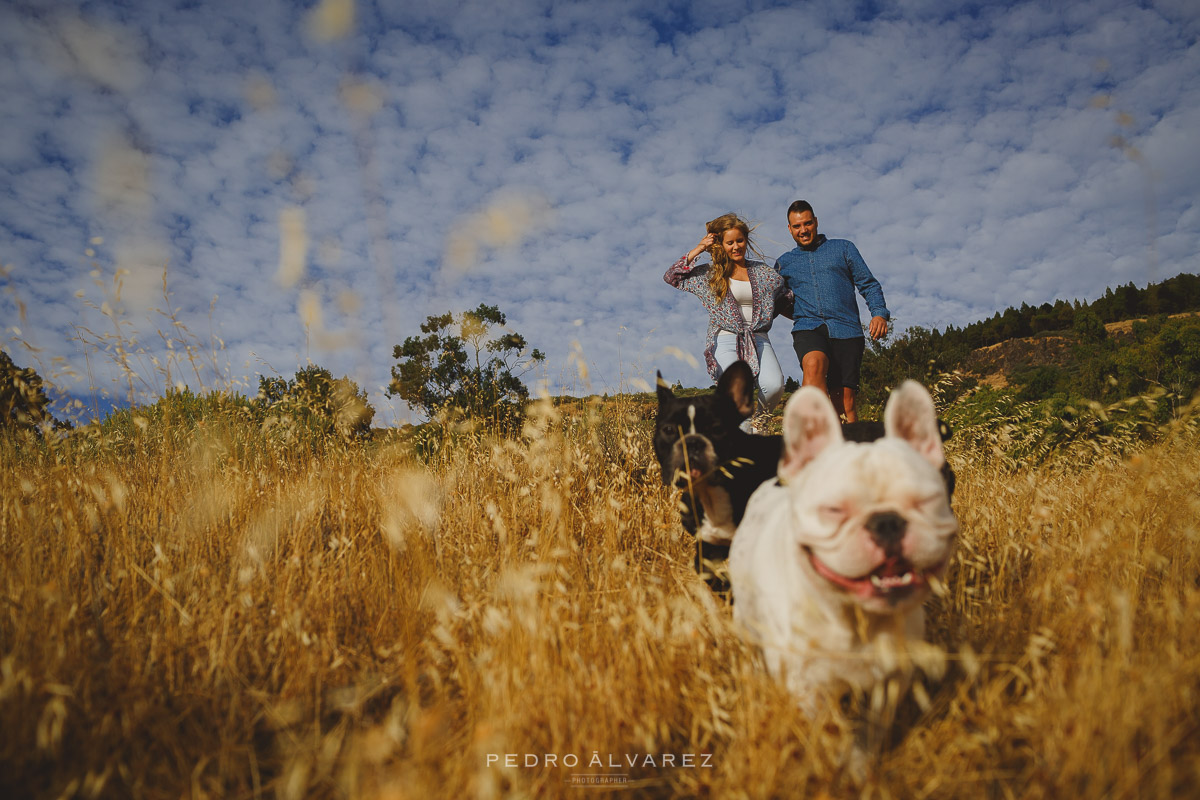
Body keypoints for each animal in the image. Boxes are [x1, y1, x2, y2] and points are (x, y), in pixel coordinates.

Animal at [729, 381, 955, 714]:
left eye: (926, 501)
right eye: (834, 510)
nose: (886, 521)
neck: (859, 620)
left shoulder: (893, 681)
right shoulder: (807, 688)